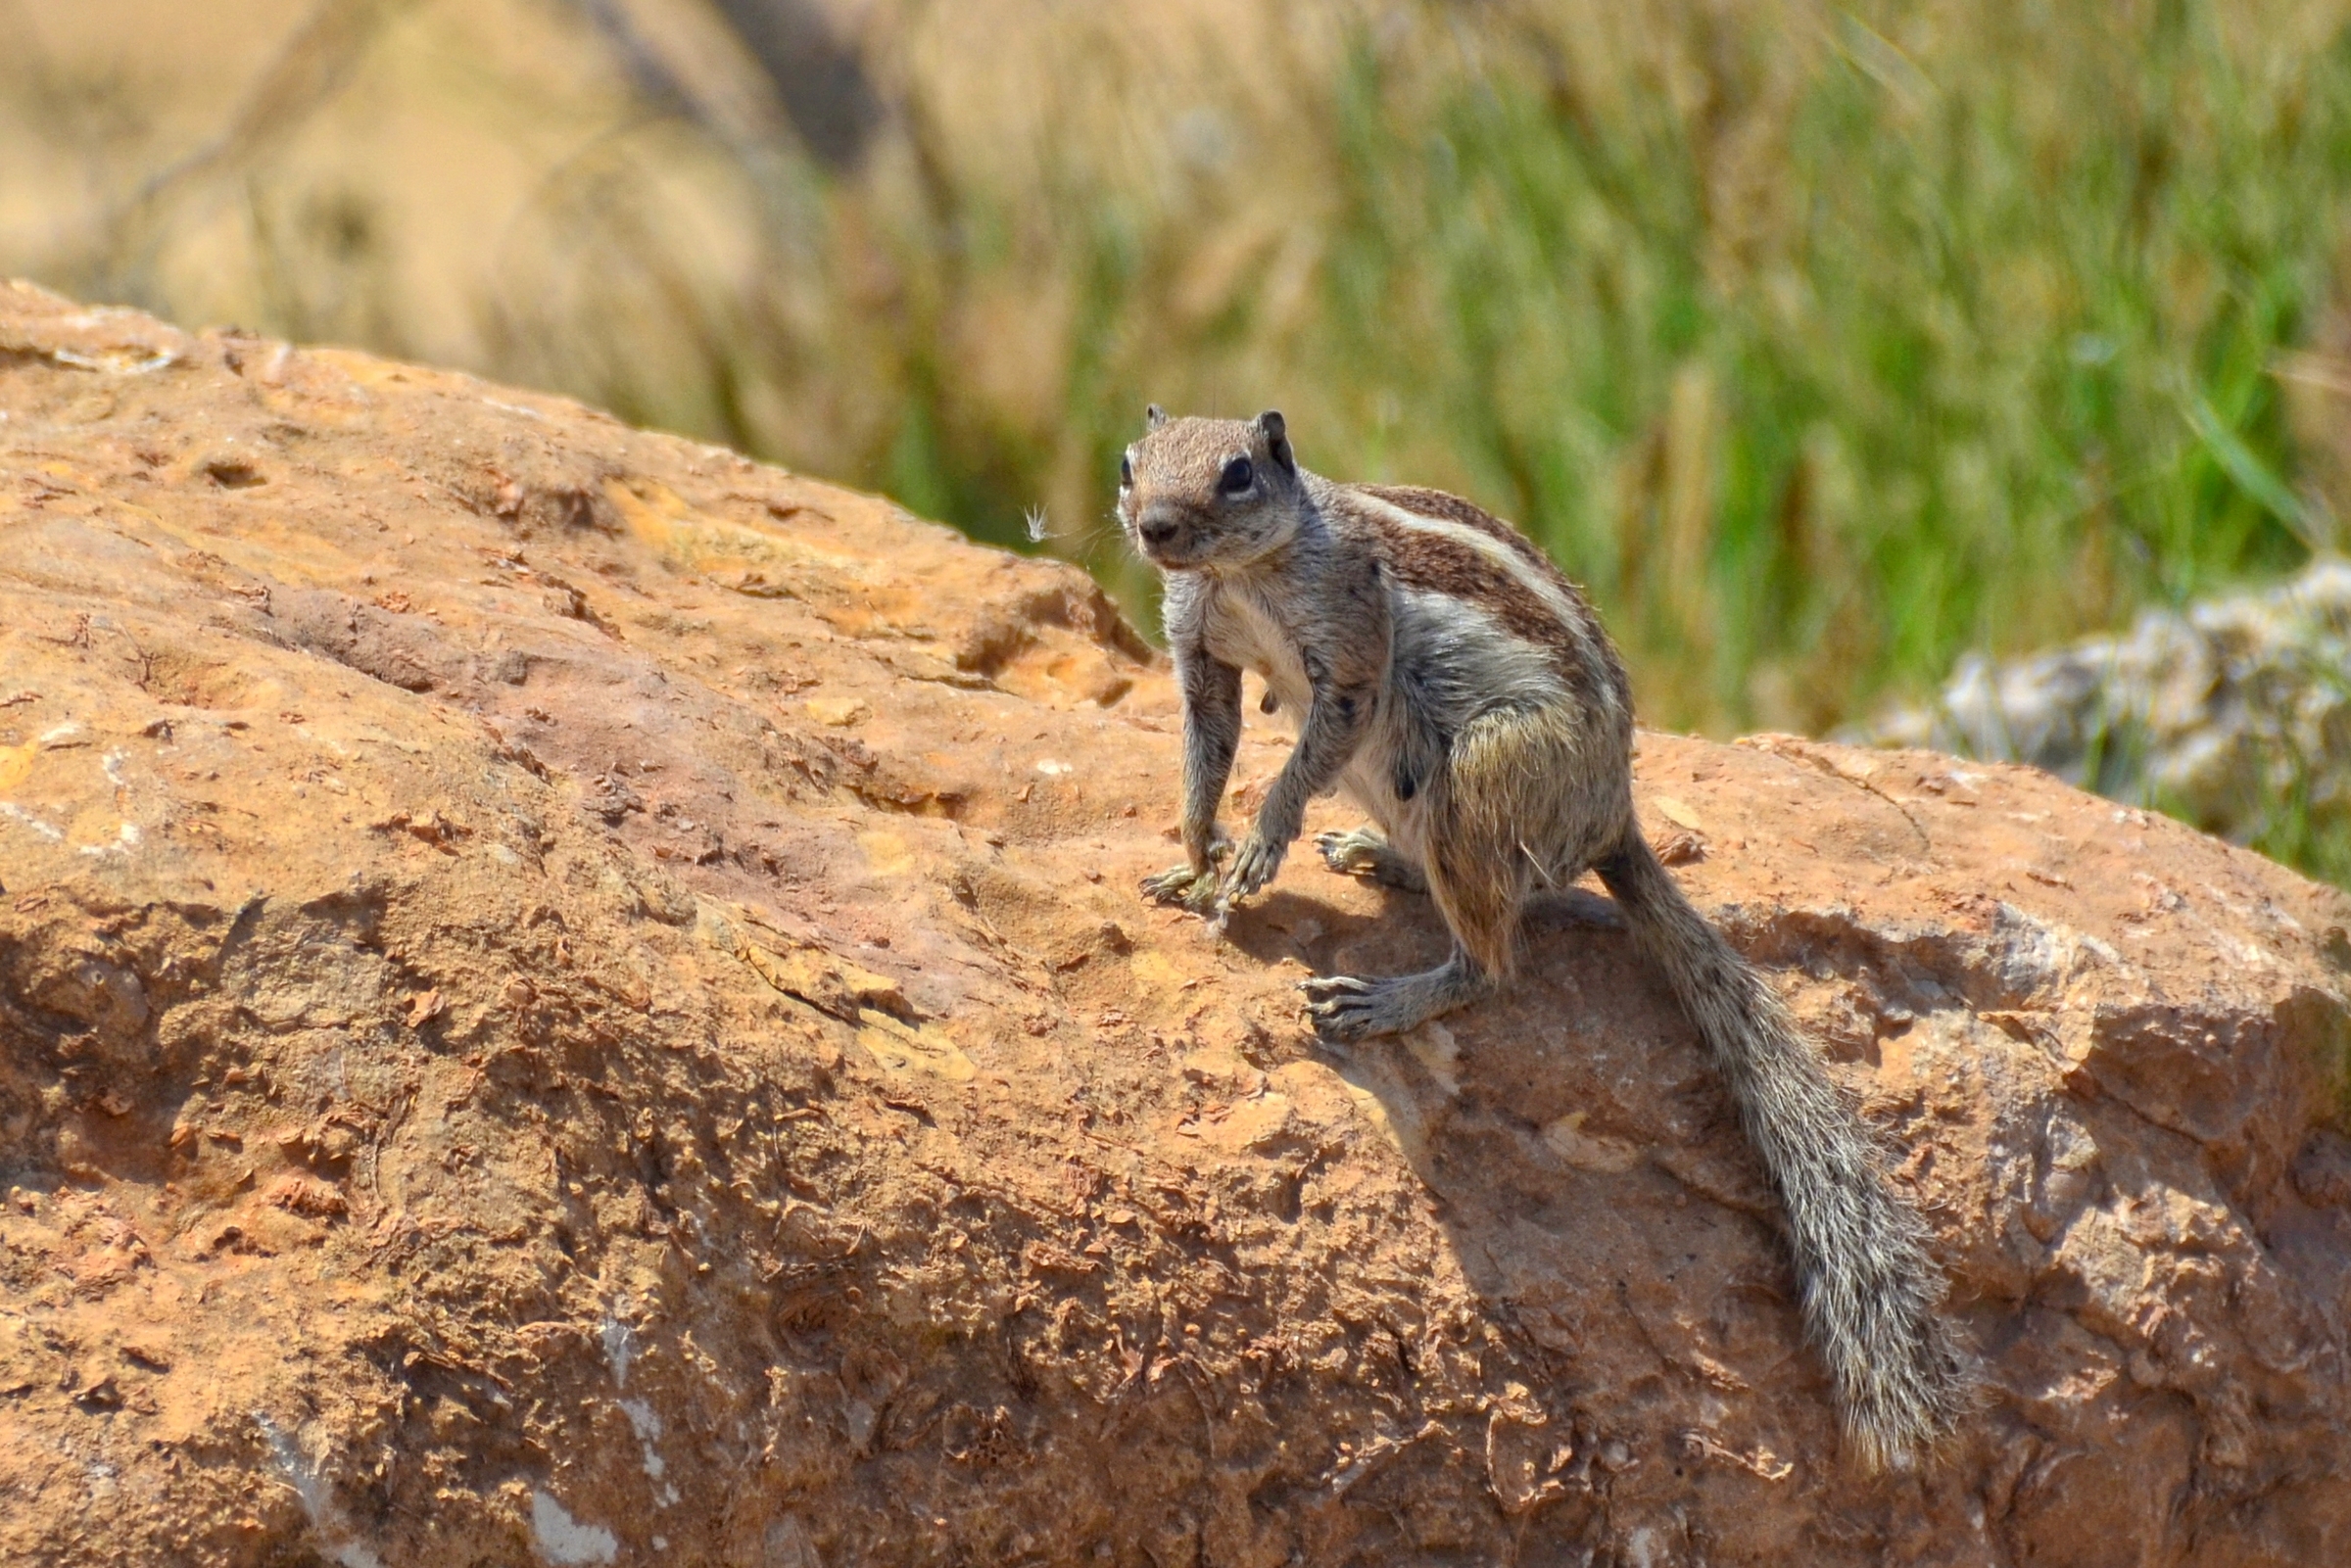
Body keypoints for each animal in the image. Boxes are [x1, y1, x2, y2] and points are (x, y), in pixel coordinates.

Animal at [1118, 406, 1970, 1469]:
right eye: (1128, 462)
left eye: (1238, 472)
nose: (1155, 528)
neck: (1245, 571)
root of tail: (1613, 819)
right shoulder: (1200, 648)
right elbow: (1206, 744)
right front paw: (1194, 856)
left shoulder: (1350, 649)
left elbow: (1309, 744)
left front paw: (1259, 842)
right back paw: (1374, 855)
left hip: (1475, 772)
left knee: (1493, 960)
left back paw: (1382, 996)